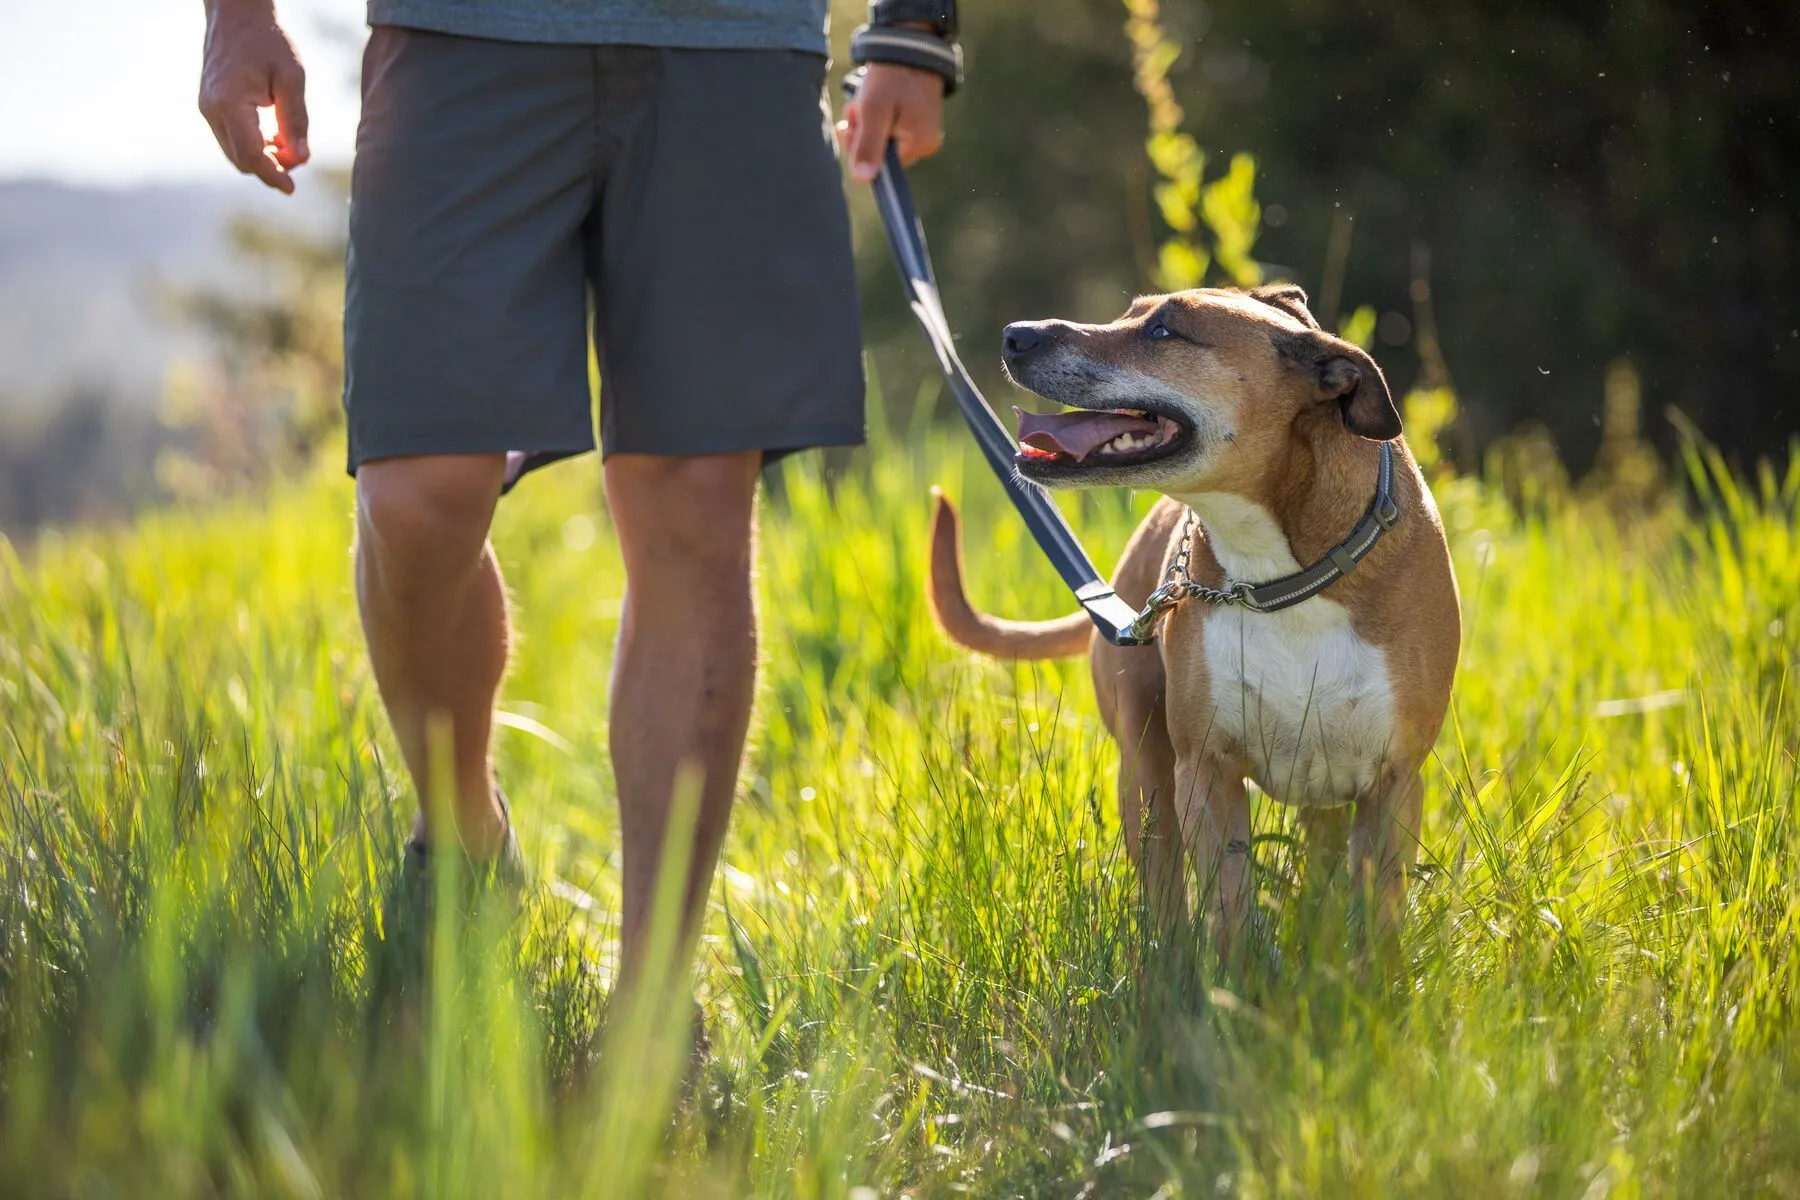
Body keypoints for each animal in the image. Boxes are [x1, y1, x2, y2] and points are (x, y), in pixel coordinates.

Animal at [928, 284, 1461, 949]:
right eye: (1130, 312)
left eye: (1164, 330)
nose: (1016, 334)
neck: (1282, 576)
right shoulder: (1206, 772)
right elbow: (1227, 910)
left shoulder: (1394, 781)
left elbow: (1378, 922)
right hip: (1146, 774)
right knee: (1165, 891)